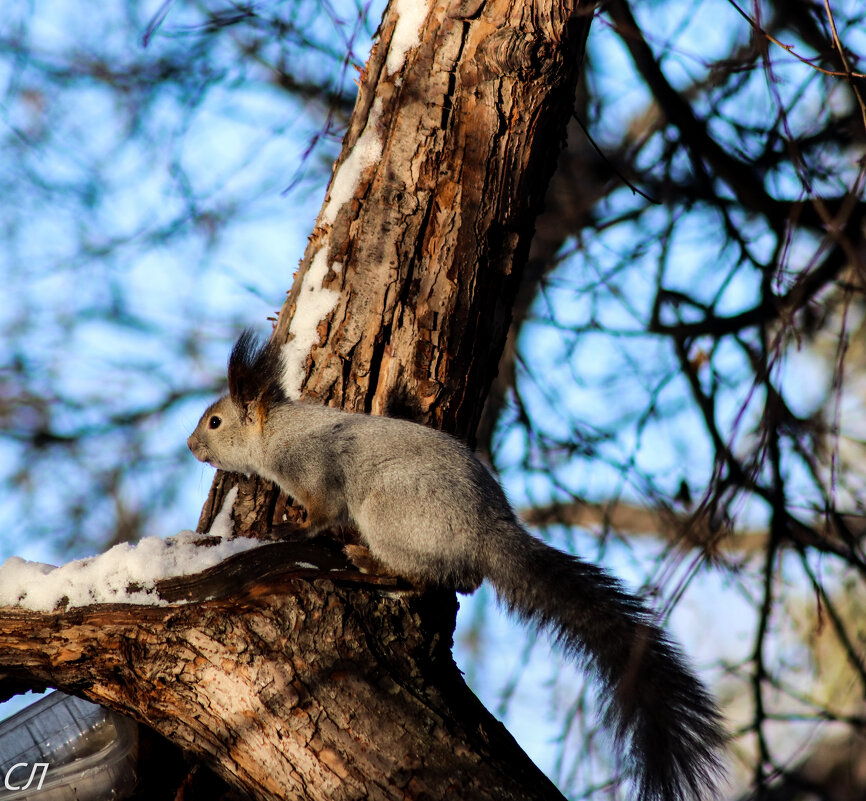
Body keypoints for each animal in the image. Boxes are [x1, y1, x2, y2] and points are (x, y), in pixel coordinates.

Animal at [187, 330, 724, 800]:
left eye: (214, 422)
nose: (191, 447)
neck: (278, 432)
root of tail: (483, 532)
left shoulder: (317, 474)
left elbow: (322, 515)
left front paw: (288, 529)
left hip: (388, 510)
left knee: (427, 576)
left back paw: (369, 563)